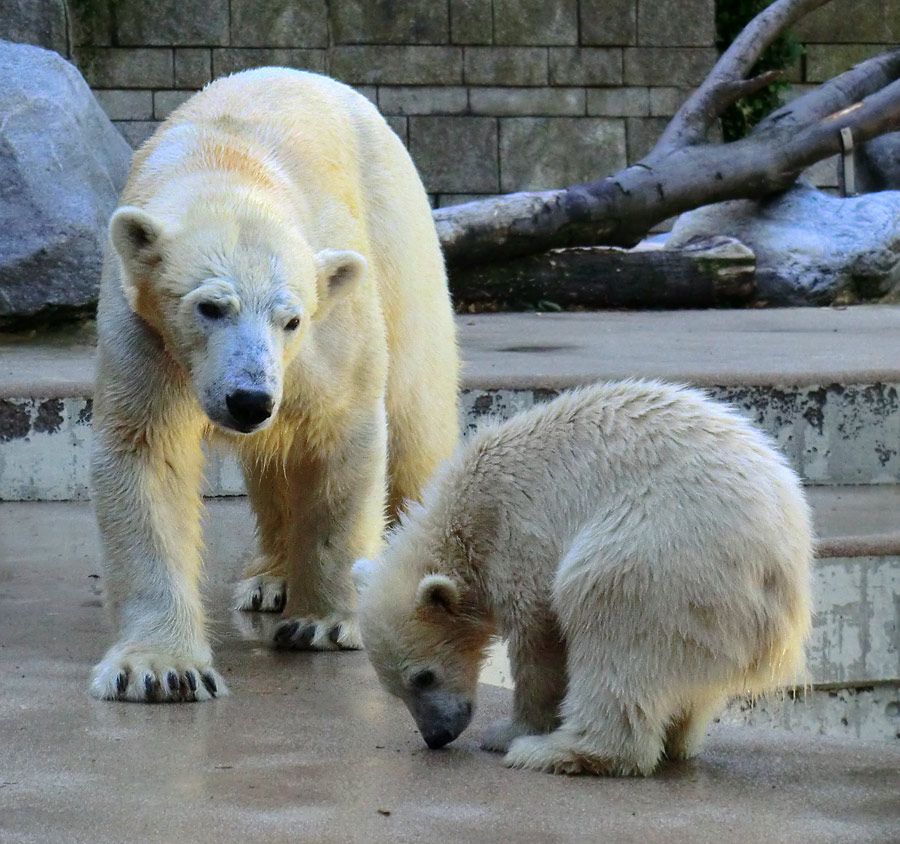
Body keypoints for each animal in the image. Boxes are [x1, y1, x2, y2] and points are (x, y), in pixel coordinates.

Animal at [90, 67, 458, 700]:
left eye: (292, 319)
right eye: (210, 307)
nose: (250, 400)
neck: (227, 166)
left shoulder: (330, 316)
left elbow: (341, 430)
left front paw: (325, 622)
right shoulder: (143, 326)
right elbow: (146, 454)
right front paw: (162, 669)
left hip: (398, 233)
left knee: (416, 415)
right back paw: (268, 579)